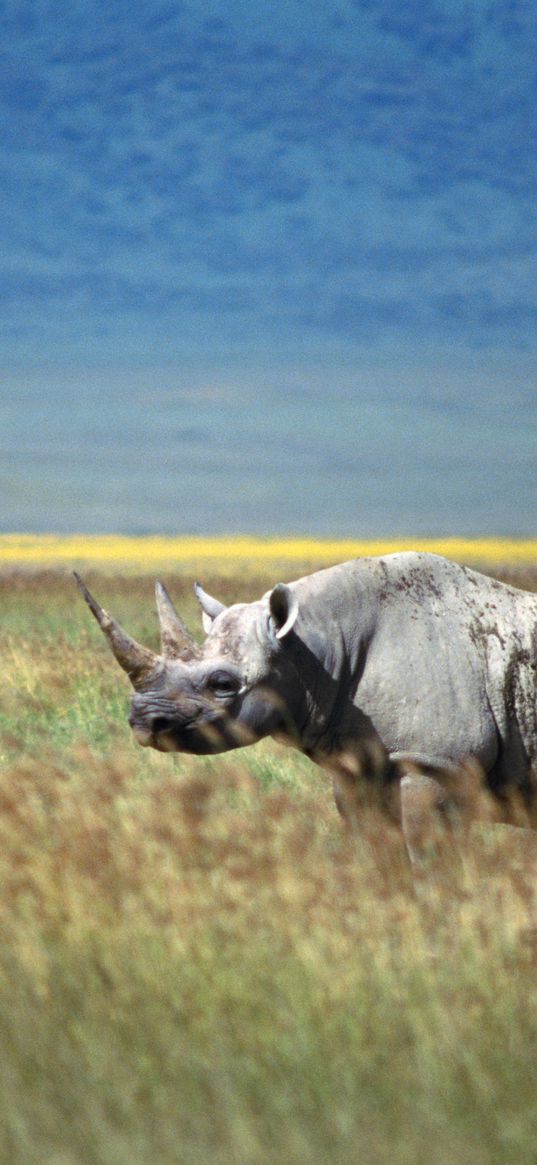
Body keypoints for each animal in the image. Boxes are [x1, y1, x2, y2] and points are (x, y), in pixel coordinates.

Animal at [74, 554, 535, 866]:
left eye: (222, 685)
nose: (143, 721)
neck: (313, 648)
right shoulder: (356, 766)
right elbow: (377, 855)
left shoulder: (438, 762)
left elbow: (430, 862)